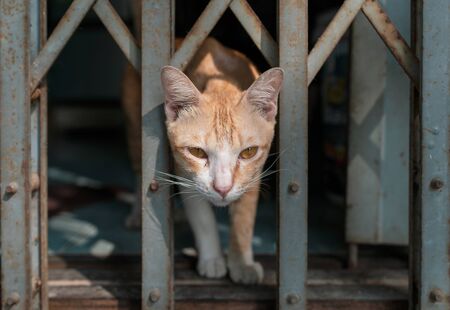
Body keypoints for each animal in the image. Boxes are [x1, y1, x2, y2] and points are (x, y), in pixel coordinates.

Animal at [121, 35, 284, 282]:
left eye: (248, 152)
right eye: (197, 152)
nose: (223, 188)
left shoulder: (254, 174)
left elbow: (244, 218)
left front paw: (241, 263)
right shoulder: (186, 175)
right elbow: (202, 217)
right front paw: (212, 259)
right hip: (133, 129)